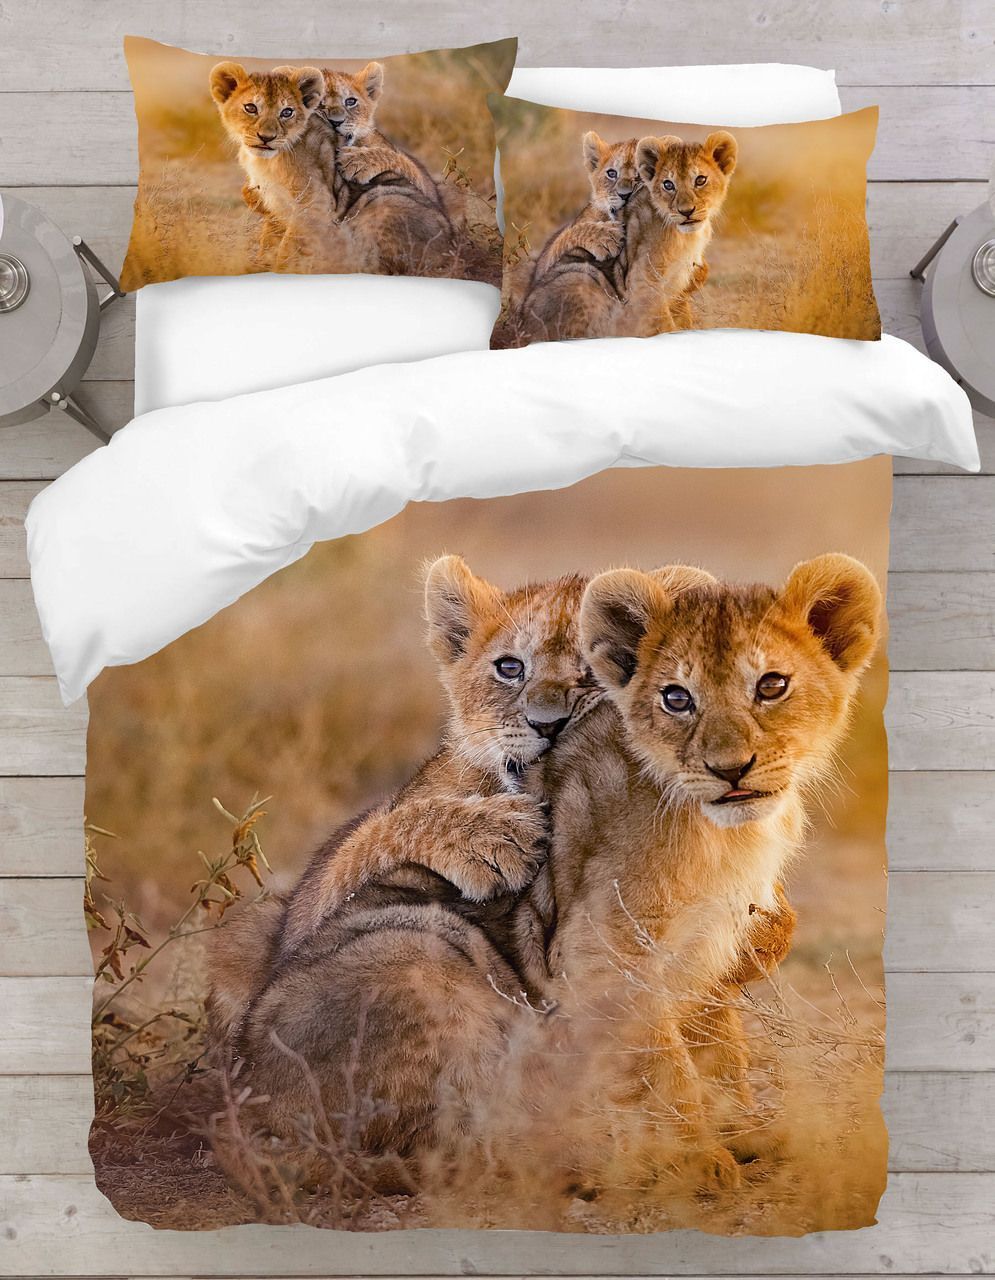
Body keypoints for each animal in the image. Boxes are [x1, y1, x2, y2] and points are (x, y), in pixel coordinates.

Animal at [517, 554, 880, 1188]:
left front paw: (742, 1130)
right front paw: (695, 1156)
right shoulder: (599, 947)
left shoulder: (717, 926)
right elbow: (659, 1058)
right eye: (676, 698)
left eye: (771, 685)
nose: (730, 769)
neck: (724, 836)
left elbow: (717, 1030)